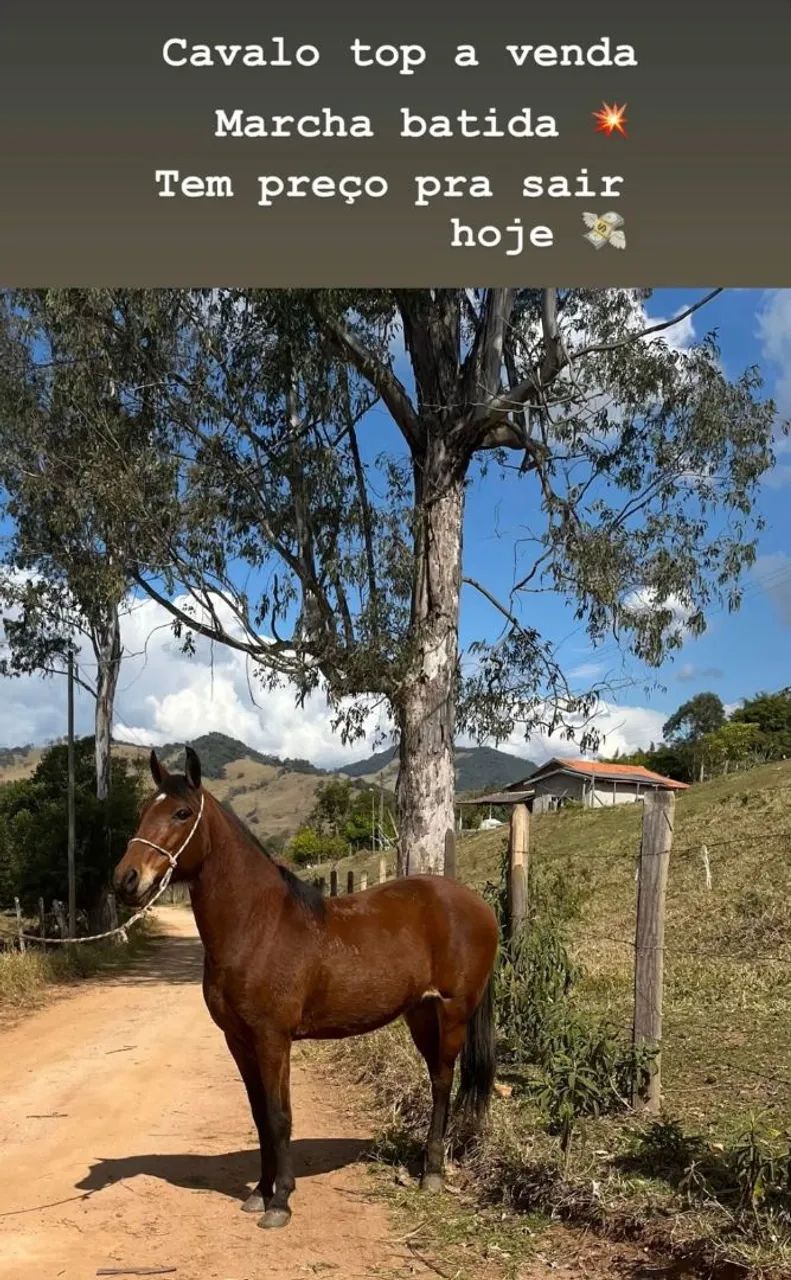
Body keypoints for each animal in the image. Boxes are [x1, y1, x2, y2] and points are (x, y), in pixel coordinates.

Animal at [113, 747, 499, 1230]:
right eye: (145, 810)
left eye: (182, 813)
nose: (125, 880)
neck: (258, 926)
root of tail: (478, 903)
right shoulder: (238, 1040)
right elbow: (260, 1114)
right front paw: (259, 1193)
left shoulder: (273, 1039)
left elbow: (280, 1117)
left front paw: (280, 1202)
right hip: (420, 1014)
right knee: (436, 1077)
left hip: (453, 1011)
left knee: (444, 1080)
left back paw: (432, 1173)